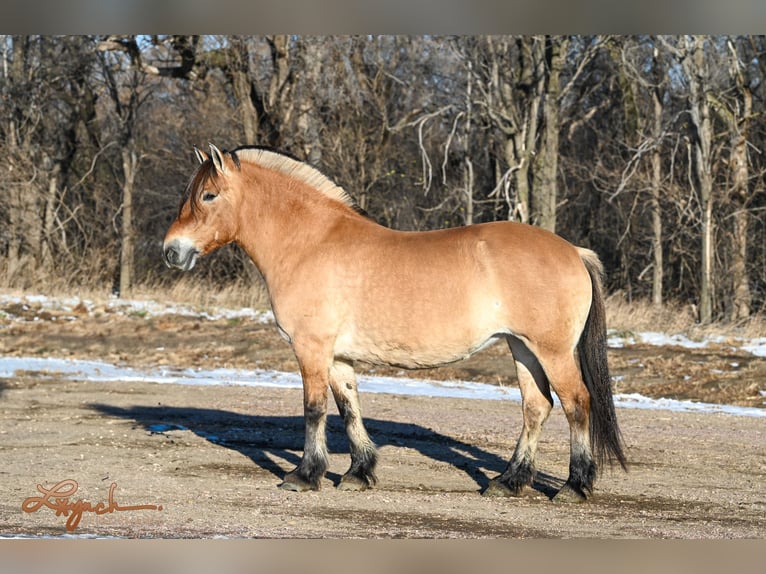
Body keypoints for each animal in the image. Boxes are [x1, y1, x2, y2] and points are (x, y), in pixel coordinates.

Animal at [165, 144, 628, 504]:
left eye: (208, 195)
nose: (172, 251)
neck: (311, 242)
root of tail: (574, 251)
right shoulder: (338, 357)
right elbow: (349, 408)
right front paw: (358, 473)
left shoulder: (311, 348)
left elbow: (314, 410)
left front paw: (305, 475)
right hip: (522, 348)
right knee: (536, 406)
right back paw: (509, 481)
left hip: (551, 350)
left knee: (576, 403)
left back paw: (574, 486)